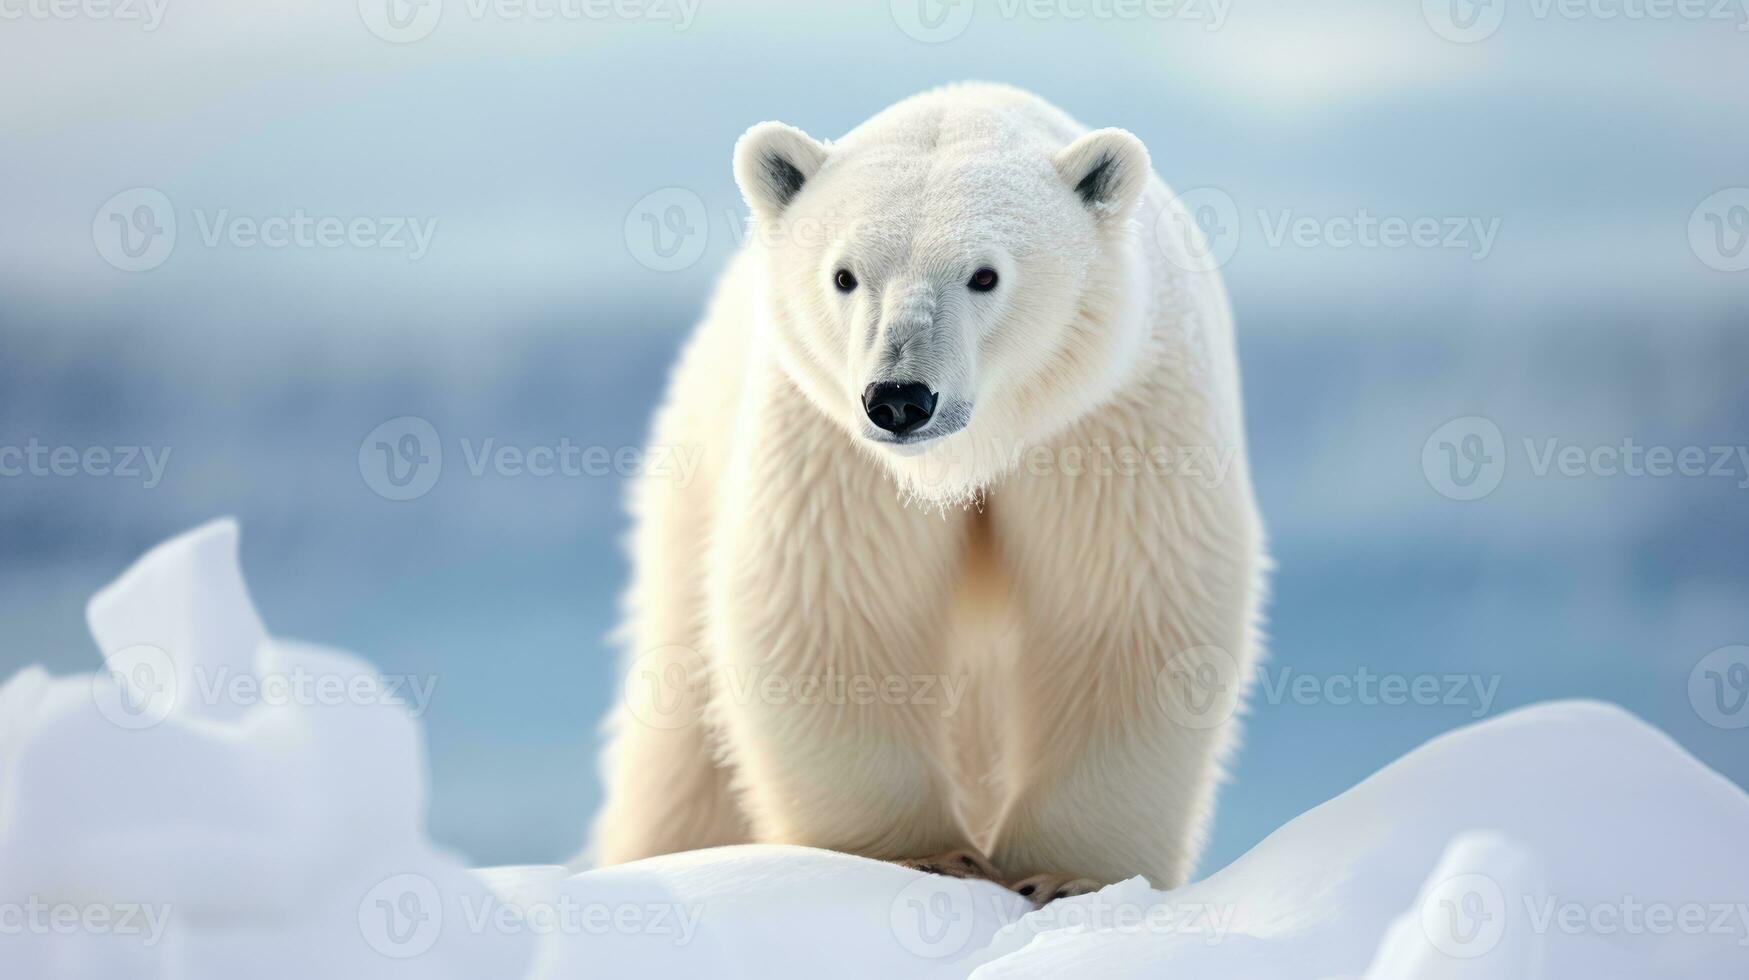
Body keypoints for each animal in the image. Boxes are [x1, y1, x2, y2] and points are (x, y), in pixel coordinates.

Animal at [594, 84, 1266, 903]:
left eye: (984, 275)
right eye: (844, 275)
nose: (899, 398)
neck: (970, 454)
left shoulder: (1109, 427)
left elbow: (1121, 615)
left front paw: (1062, 875)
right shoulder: (834, 448)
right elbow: (834, 608)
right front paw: (925, 857)